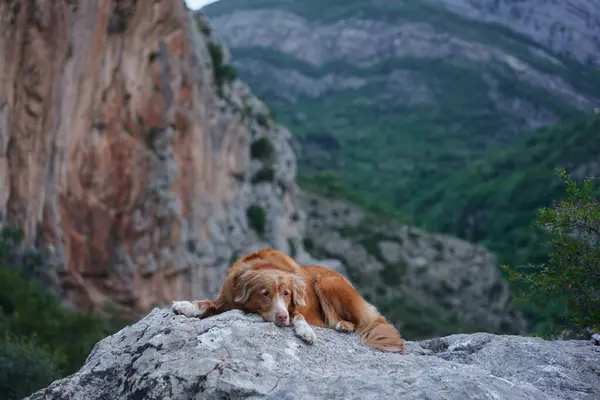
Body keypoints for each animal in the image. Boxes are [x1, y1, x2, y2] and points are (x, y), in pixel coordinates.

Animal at [173, 248, 408, 352]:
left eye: (286, 293)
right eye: (265, 293)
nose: (281, 317)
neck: (264, 266)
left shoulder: (298, 306)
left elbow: (299, 316)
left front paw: (306, 332)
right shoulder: (226, 300)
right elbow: (207, 303)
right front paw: (186, 306)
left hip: (327, 282)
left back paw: (344, 324)